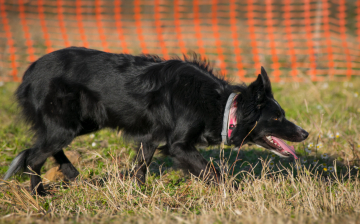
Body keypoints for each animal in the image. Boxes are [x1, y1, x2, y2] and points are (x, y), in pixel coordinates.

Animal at [2, 46, 308, 194]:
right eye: (278, 117)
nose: (305, 133)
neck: (223, 106)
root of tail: (29, 72)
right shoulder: (178, 145)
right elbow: (211, 170)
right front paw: (231, 193)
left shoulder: (150, 138)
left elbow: (141, 165)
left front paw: (138, 192)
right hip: (67, 125)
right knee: (33, 156)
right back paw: (39, 194)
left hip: (84, 123)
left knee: (45, 149)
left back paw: (71, 173)